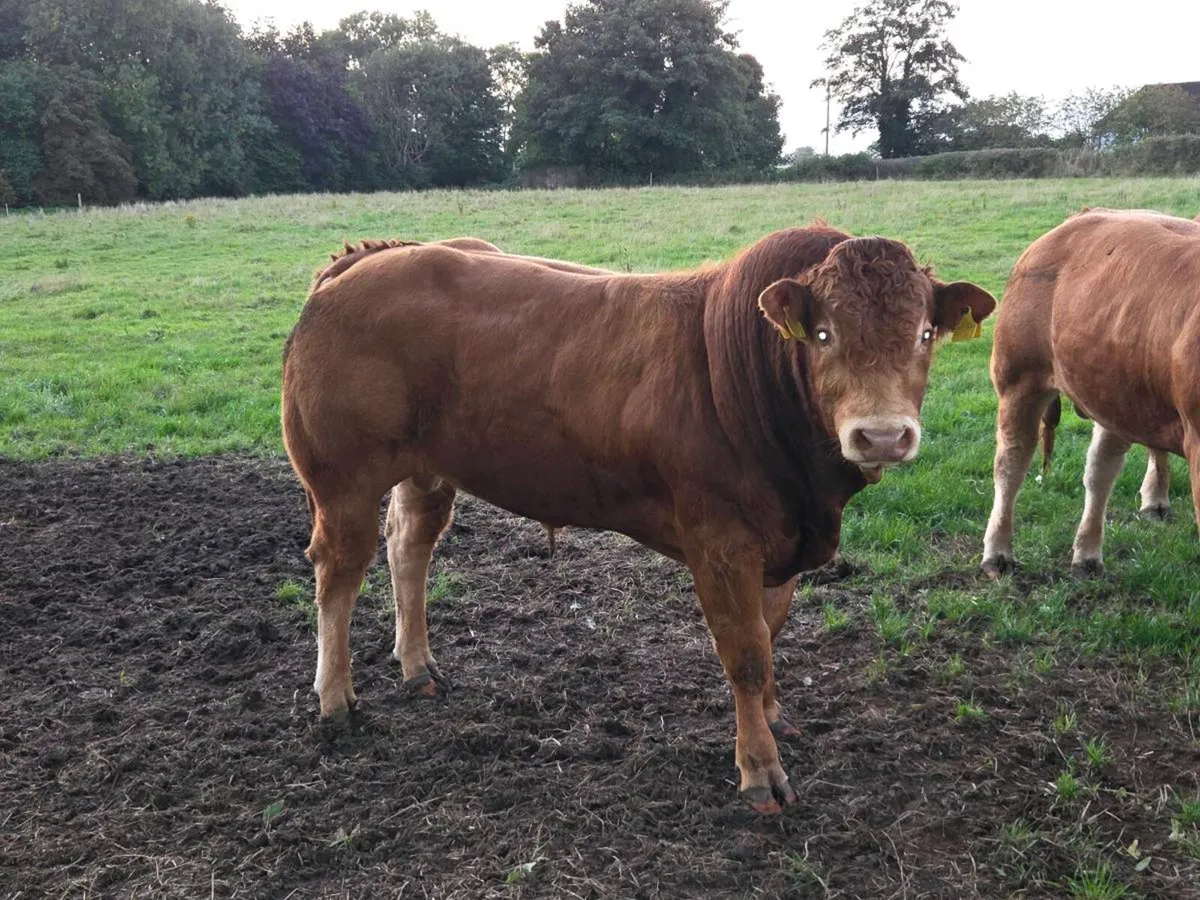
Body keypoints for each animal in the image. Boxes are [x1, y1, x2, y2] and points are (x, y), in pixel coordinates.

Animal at [281, 225, 996, 812]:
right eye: (825, 334)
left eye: (924, 334)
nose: (882, 436)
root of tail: (371, 258)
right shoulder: (720, 542)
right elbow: (745, 652)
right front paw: (760, 770)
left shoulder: (781, 542)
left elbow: (771, 635)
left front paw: (773, 716)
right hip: (343, 480)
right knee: (338, 574)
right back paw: (335, 699)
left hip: (426, 471)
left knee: (409, 548)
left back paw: (418, 667)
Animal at [982, 208, 1200, 577]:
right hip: (1019, 379)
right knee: (1011, 464)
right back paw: (997, 553)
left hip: (1113, 392)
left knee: (1100, 469)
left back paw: (1088, 553)